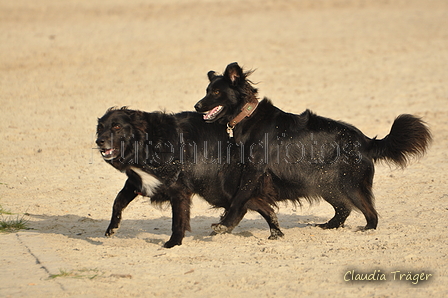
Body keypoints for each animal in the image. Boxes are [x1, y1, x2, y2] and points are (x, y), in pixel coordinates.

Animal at [96, 108, 282, 248]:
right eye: (100, 128)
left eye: (117, 126)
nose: (99, 141)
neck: (147, 144)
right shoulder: (137, 181)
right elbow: (118, 201)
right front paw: (112, 228)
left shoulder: (179, 191)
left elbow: (178, 220)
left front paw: (173, 243)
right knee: (261, 207)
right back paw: (275, 233)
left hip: (217, 189)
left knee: (244, 205)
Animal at [194, 62, 432, 235]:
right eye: (207, 90)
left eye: (216, 92)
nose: (197, 106)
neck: (247, 115)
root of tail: (366, 141)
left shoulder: (254, 171)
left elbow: (239, 197)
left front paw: (225, 223)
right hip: (326, 182)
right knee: (344, 208)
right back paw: (328, 226)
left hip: (348, 183)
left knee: (370, 212)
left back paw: (366, 230)